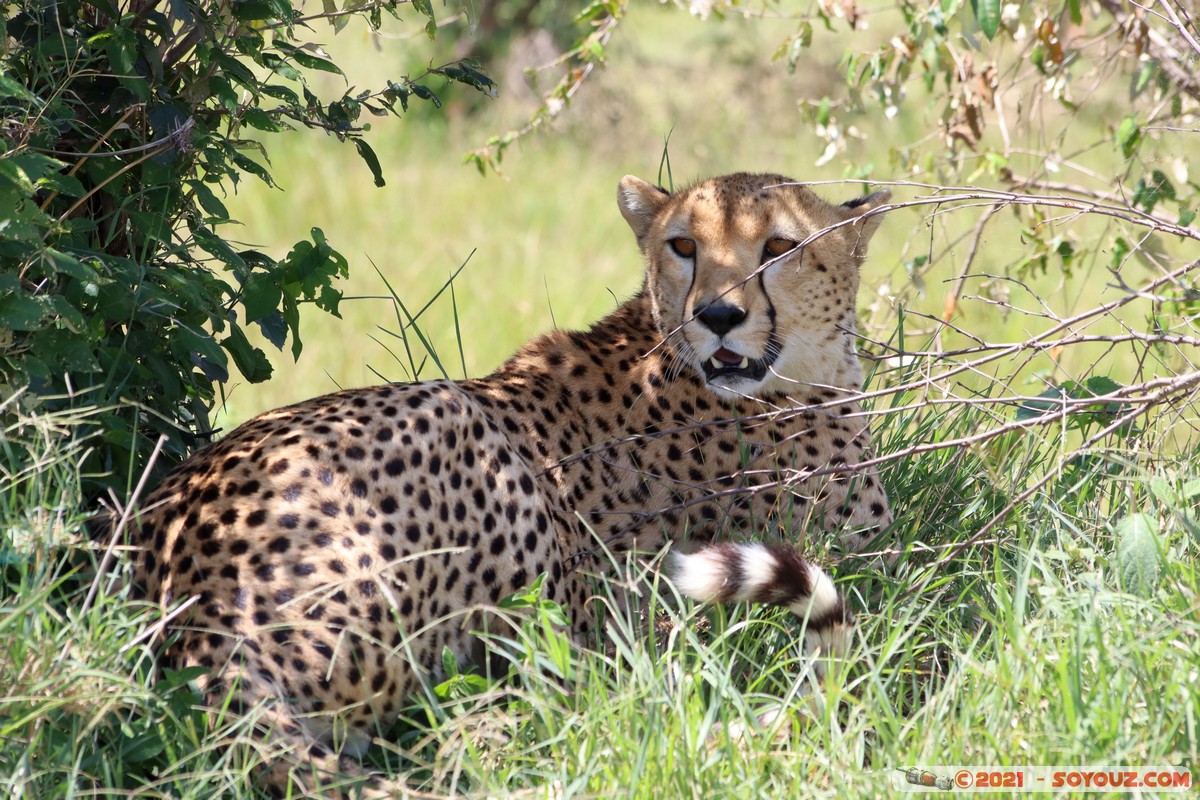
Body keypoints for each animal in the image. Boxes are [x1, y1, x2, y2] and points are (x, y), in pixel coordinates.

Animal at [133, 172, 892, 796]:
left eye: (779, 246)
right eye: (683, 245)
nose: (718, 317)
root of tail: (203, 604)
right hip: (467, 435)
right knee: (512, 696)